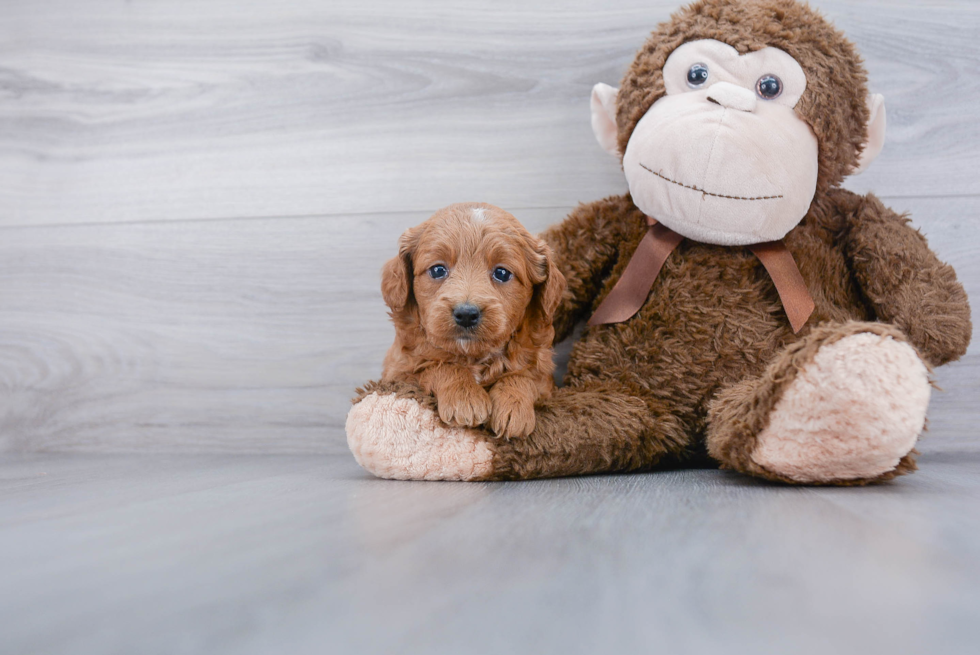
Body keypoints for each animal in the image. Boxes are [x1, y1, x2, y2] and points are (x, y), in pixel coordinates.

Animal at [382, 204, 568, 440]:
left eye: (502, 273)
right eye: (437, 270)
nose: (466, 314)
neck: (473, 355)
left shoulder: (545, 380)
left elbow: (524, 375)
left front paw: (513, 406)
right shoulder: (398, 374)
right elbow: (437, 366)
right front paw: (464, 398)